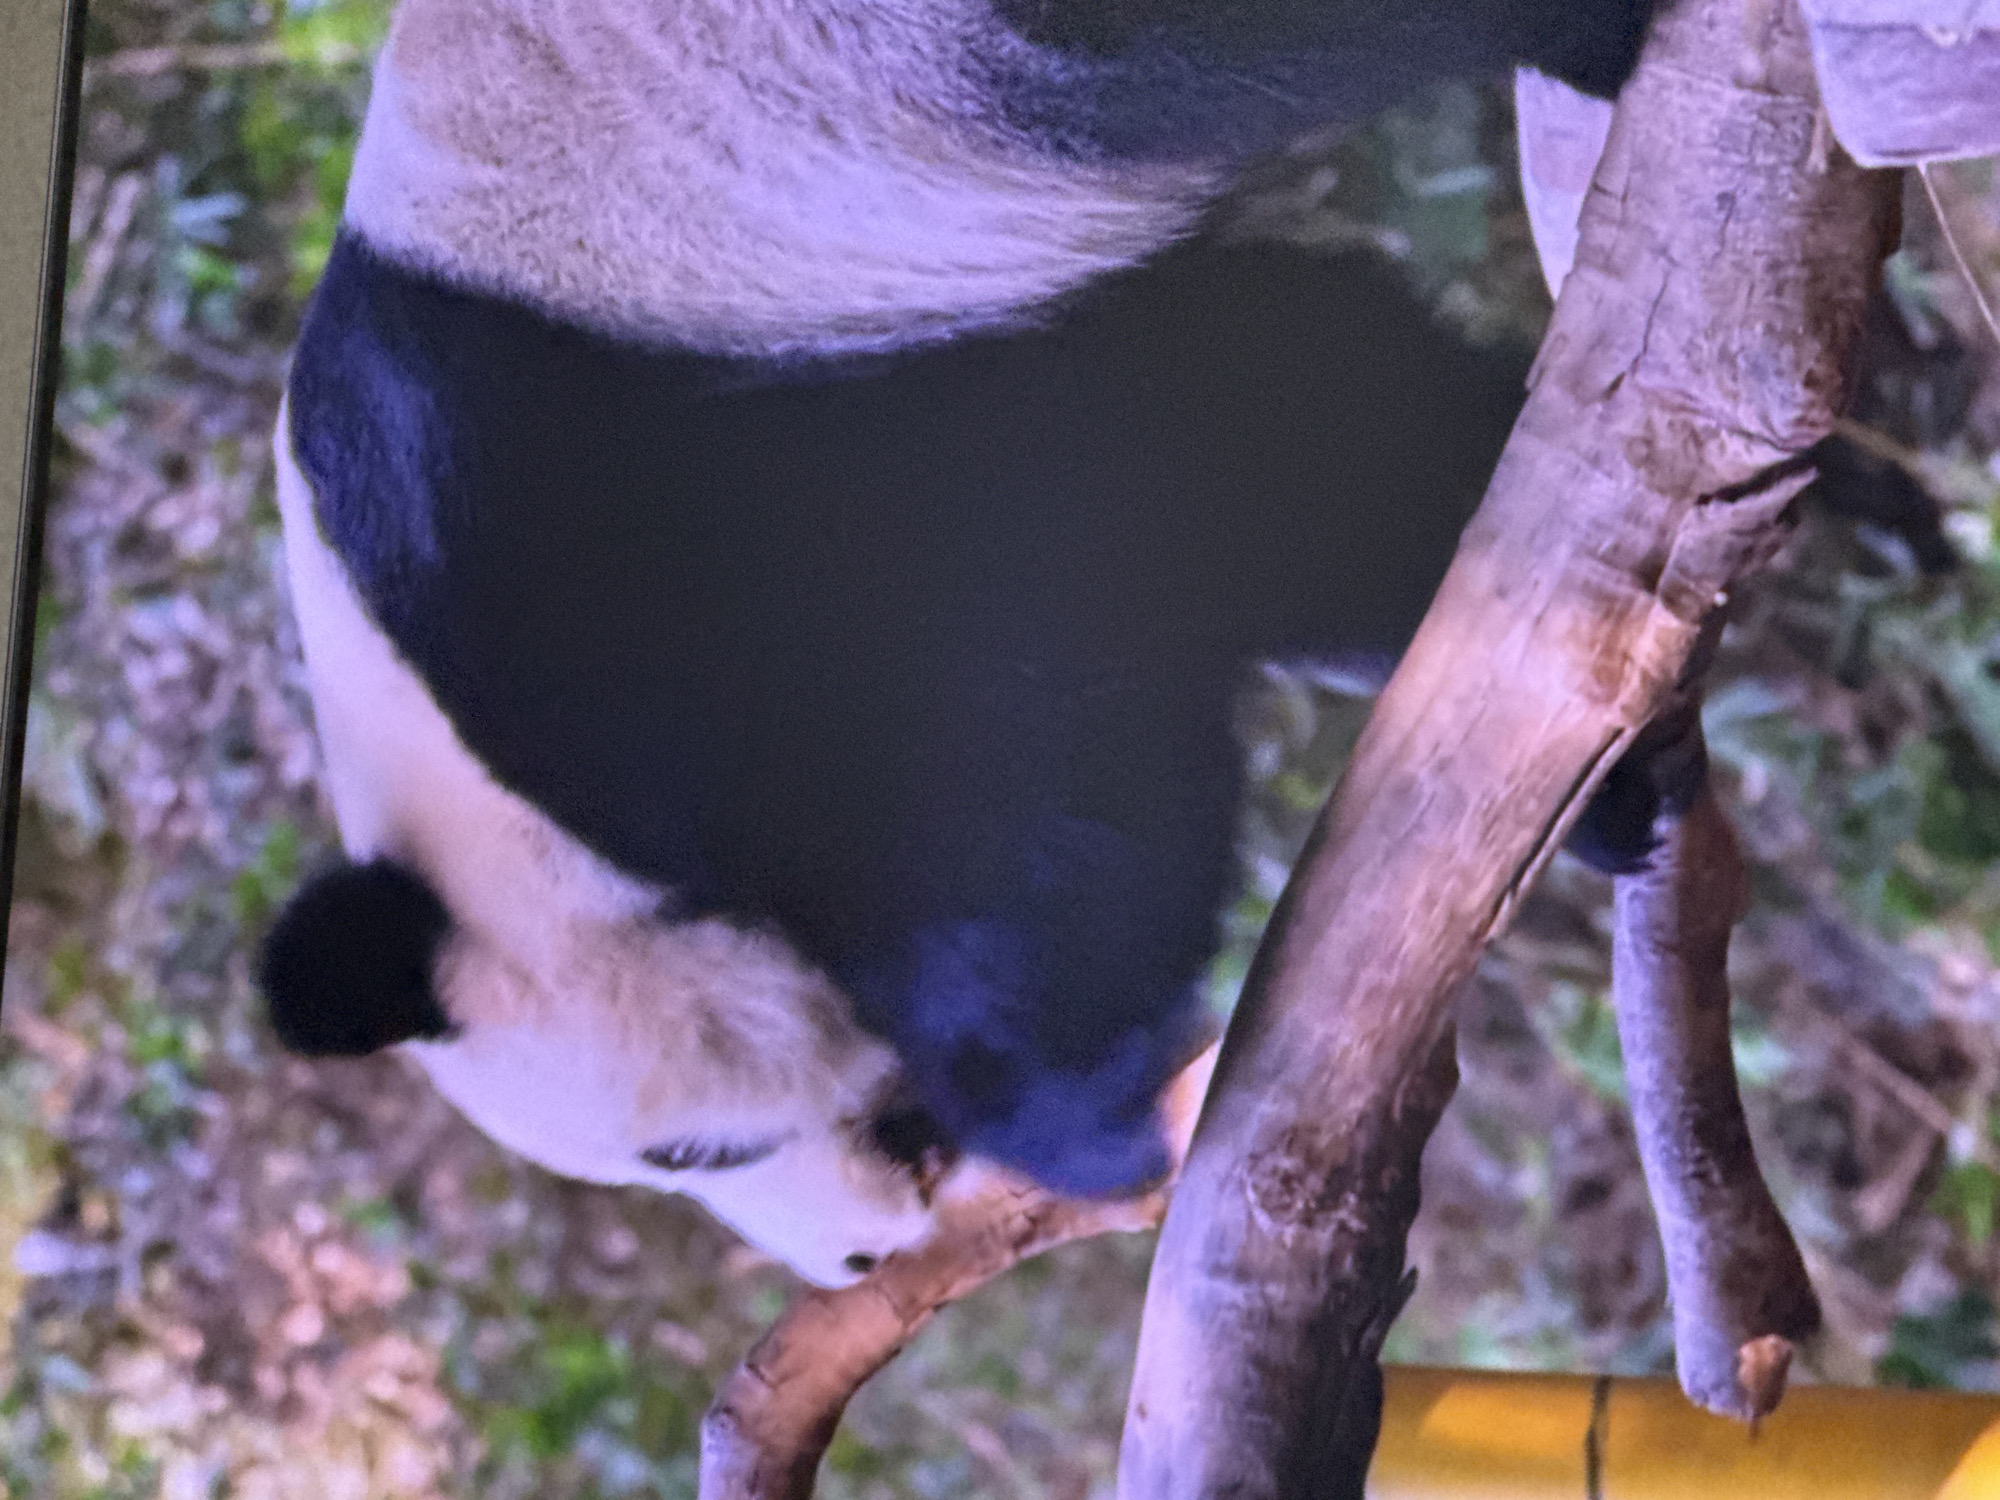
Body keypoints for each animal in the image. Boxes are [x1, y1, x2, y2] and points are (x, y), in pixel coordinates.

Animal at [257, 0, 1664, 1289]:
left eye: (690, 1154)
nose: (856, 1261)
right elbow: (1275, 441)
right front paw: (1575, 770)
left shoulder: (619, 558)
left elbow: (1020, 778)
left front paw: (1070, 1117)